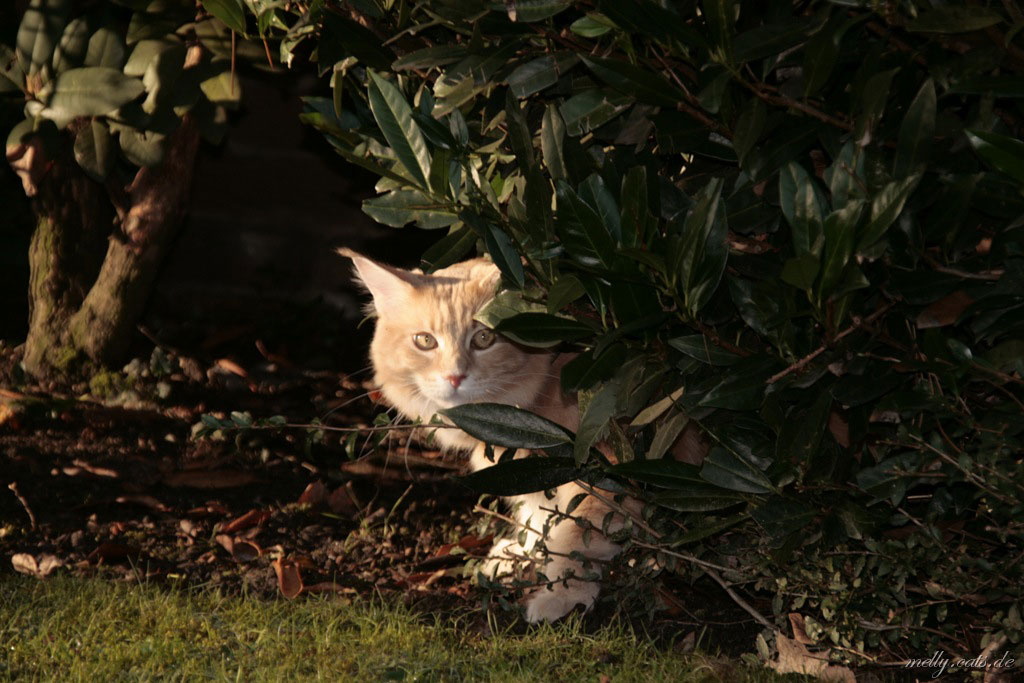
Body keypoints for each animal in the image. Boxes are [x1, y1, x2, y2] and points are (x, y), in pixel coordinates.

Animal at [339, 248, 630, 622]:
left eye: (484, 338)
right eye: (425, 341)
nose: (454, 376)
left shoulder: (606, 473)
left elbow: (578, 536)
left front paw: (563, 593)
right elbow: (541, 516)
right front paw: (522, 555)